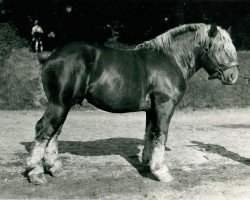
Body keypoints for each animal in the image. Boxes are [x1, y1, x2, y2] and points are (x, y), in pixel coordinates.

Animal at [25, 23, 238, 184]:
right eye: (220, 48)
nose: (233, 76)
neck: (170, 59)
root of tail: (51, 56)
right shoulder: (164, 106)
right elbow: (161, 135)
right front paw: (161, 171)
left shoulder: (152, 109)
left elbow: (150, 133)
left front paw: (147, 163)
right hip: (59, 104)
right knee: (44, 129)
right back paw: (36, 173)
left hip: (65, 104)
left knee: (55, 131)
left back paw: (54, 167)